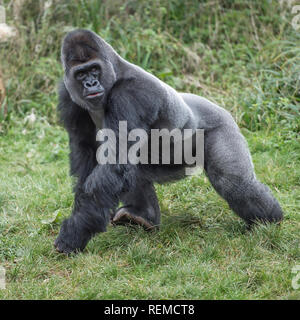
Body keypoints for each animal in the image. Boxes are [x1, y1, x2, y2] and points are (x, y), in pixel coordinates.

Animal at [54, 29, 284, 255]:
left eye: (95, 69)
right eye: (81, 74)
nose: (91, 83)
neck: (115, 72)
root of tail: (219, 107)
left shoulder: (129, 95)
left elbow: (115, 163)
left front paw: (74, 232)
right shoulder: (67, 94)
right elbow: (88, 152)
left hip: (222, 127)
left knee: (233, 182)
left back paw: (269, 221)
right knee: (134, 168)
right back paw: (143, 215)